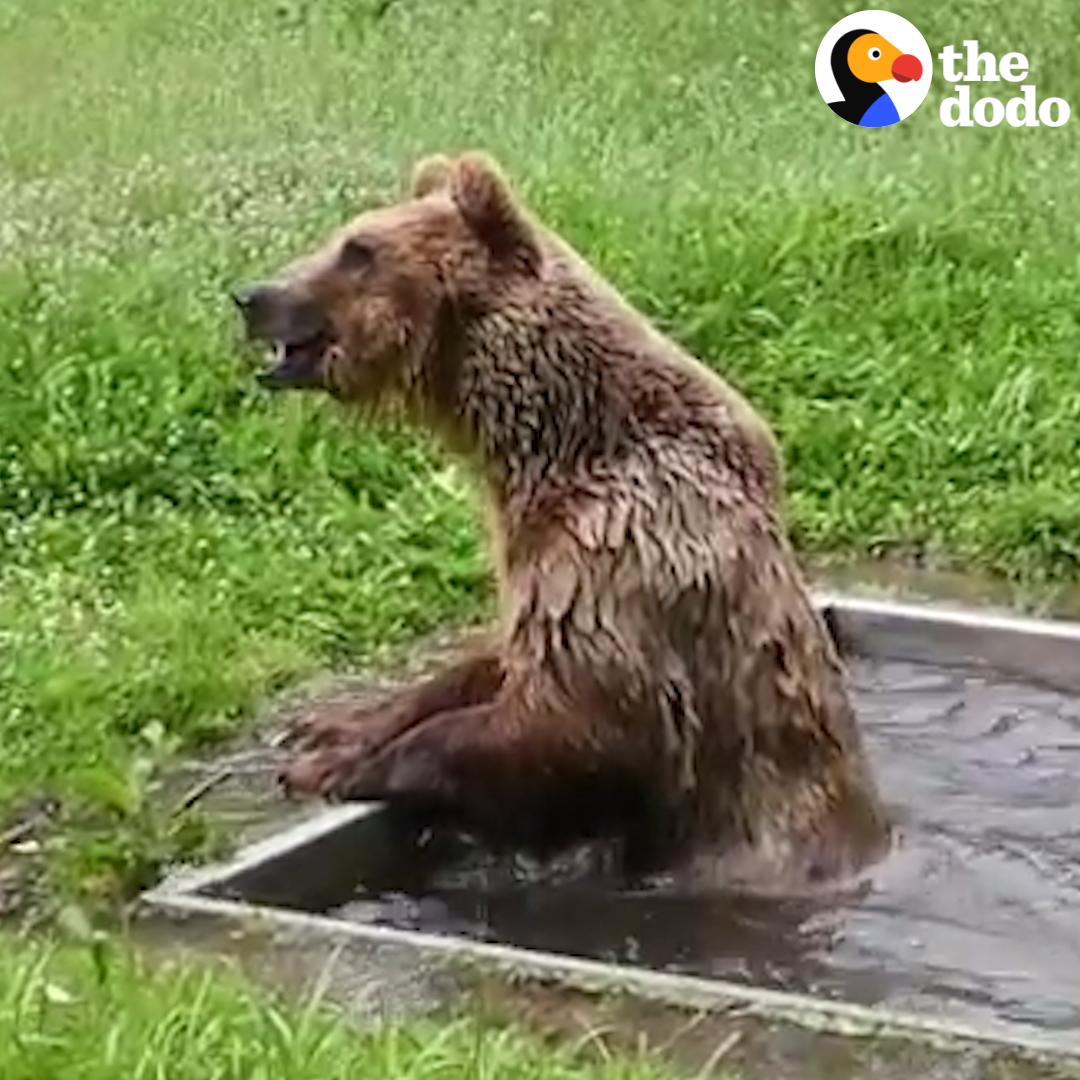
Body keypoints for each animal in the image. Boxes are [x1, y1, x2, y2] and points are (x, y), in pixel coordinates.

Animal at [233, 152, 889, 892]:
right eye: (345, 236)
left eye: (359, 250)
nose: (252, 296)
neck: (556, 446)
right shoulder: (542, 561)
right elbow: (492, 660)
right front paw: (329, 727)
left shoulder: (621, 549)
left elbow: (583, 722)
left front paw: (330, 767)